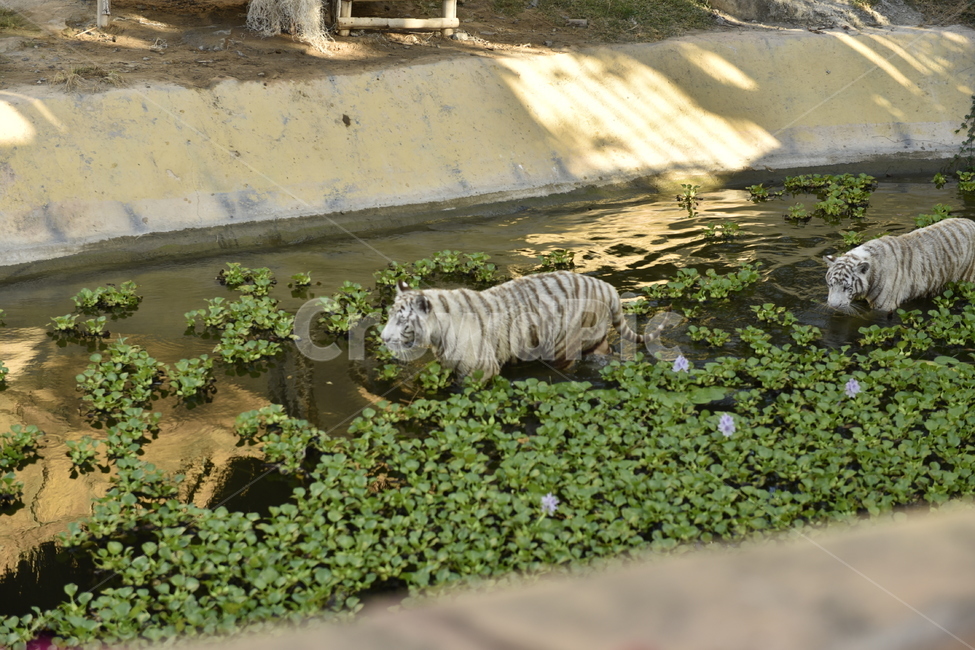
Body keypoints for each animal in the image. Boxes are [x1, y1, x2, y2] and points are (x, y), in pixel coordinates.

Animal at [380, 271, 661, 381]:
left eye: (402, 321)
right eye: (389, 315)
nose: (382, 338)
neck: (439, 334)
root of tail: (607, 287)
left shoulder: (479, 372)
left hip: (563, 346)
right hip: (596, 339)